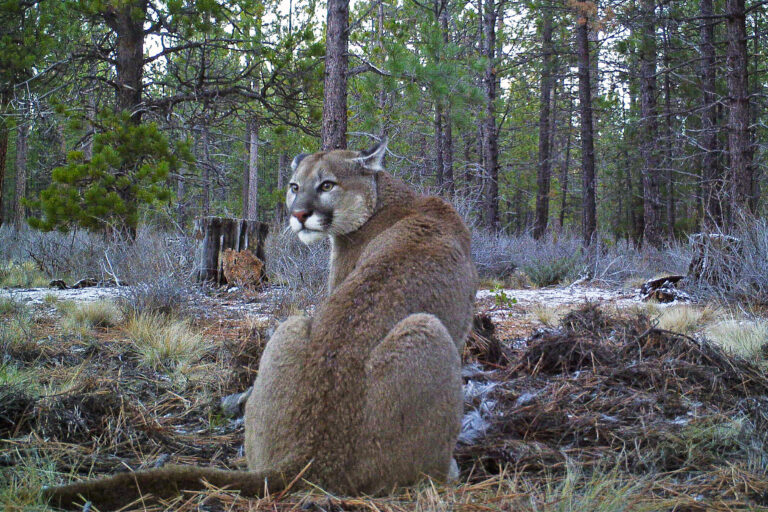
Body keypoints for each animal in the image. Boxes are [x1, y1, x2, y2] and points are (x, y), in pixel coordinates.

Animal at [45, 138, 476, 510]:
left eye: (327, 185)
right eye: (294, 186)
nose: (298, 214)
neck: (391, 197)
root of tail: (307, 455)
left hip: (291, 326)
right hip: (428, 330)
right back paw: (450, 469)